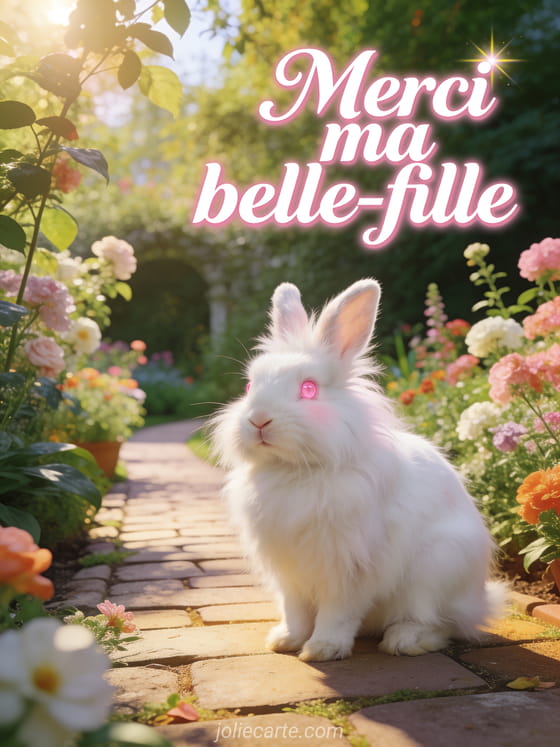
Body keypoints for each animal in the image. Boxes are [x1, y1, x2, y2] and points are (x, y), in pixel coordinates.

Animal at [211, 278, 506, 662]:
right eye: (249, 387)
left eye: (309, 389)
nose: (258, 419)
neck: (297, 469)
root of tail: (478, 602)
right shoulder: (290, 573)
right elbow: (295, 610)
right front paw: (284, 640)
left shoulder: (348, 568)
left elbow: (337, 613)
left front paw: (321, 649)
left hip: (435, 571)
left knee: (440, 624)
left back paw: (405, 641)